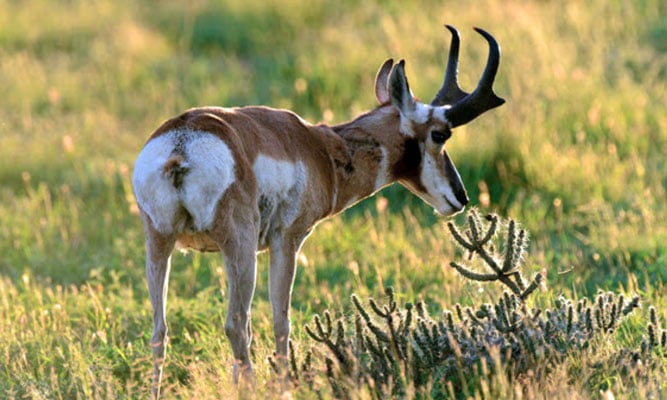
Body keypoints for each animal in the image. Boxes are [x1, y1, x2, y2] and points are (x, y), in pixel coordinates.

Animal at [132, 25, 505, 397]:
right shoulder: (287, 241)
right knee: (237, 325)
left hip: (160, 244)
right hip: (239, 247)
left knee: (159, 330)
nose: (461, 197)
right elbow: (281, 320)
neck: (318, 148)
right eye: (440, 134)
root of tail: (182, 144)